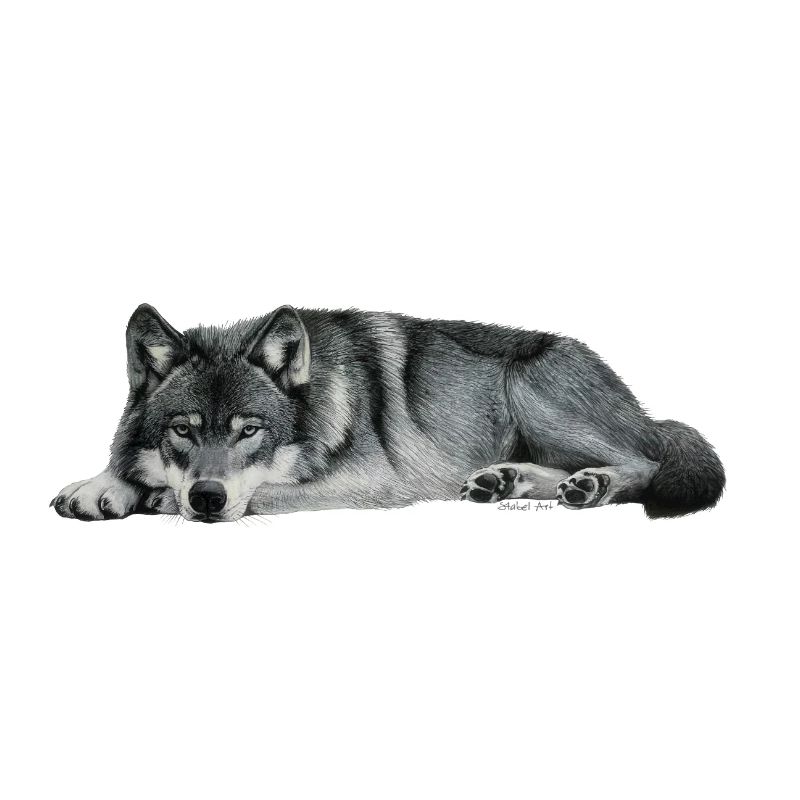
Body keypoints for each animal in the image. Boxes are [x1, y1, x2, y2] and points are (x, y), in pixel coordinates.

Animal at [51, 304, 724, 523]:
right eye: (183, 430)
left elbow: (260, 492)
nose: (208, 498)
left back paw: (593, 485)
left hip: (535, 391)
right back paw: (503, 480)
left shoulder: (373, 483)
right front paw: (99, 487)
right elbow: (126, 466)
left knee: (645, 462)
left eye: (250, 431)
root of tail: (644, 408)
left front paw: (153, 497)